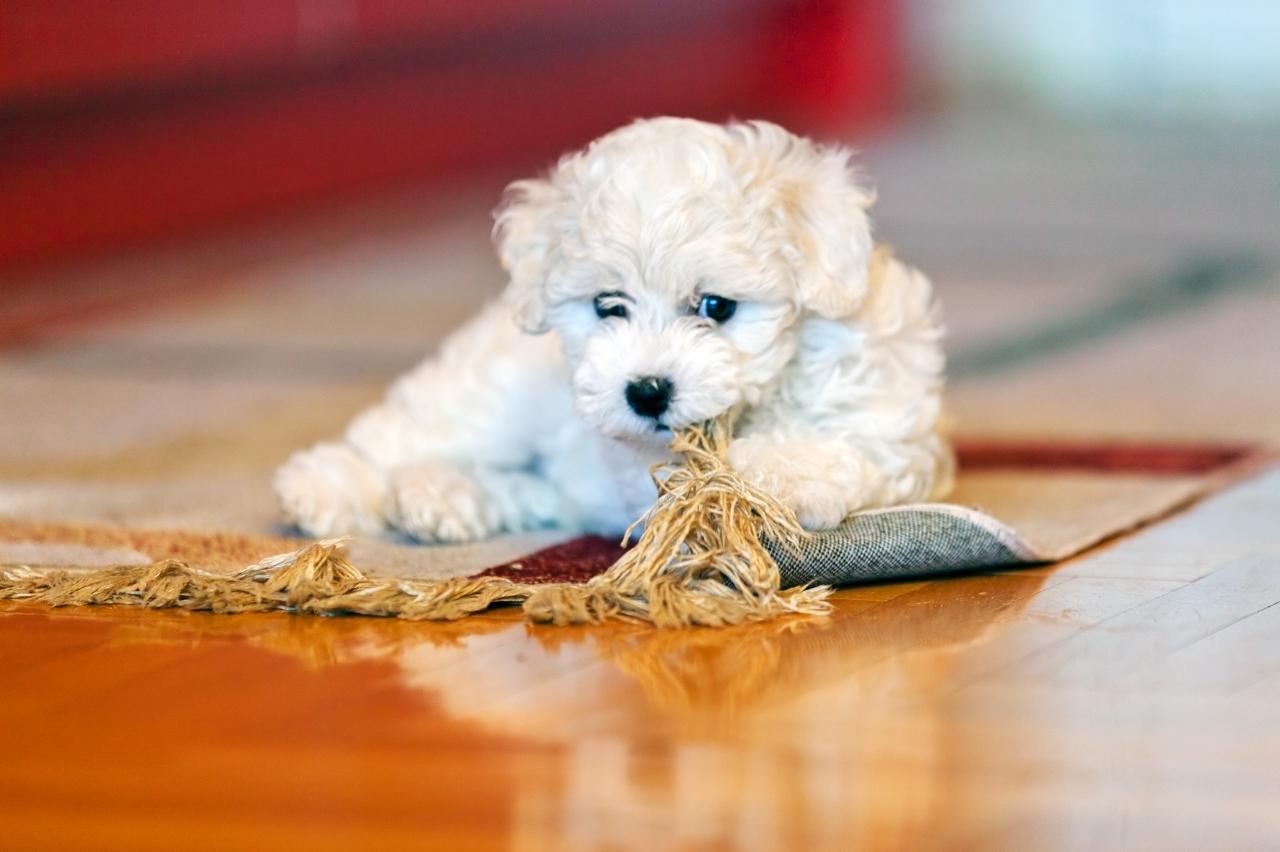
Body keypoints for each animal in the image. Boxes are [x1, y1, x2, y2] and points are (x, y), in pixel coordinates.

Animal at [272, 116, 952, 539]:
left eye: (715, 306)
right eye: (608, 305)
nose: (646, 391)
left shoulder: (889, 427)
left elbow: (835, 444)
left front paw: (777, 474)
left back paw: (433, 499)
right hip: (491, 400)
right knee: (399, 437)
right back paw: (325, 490)